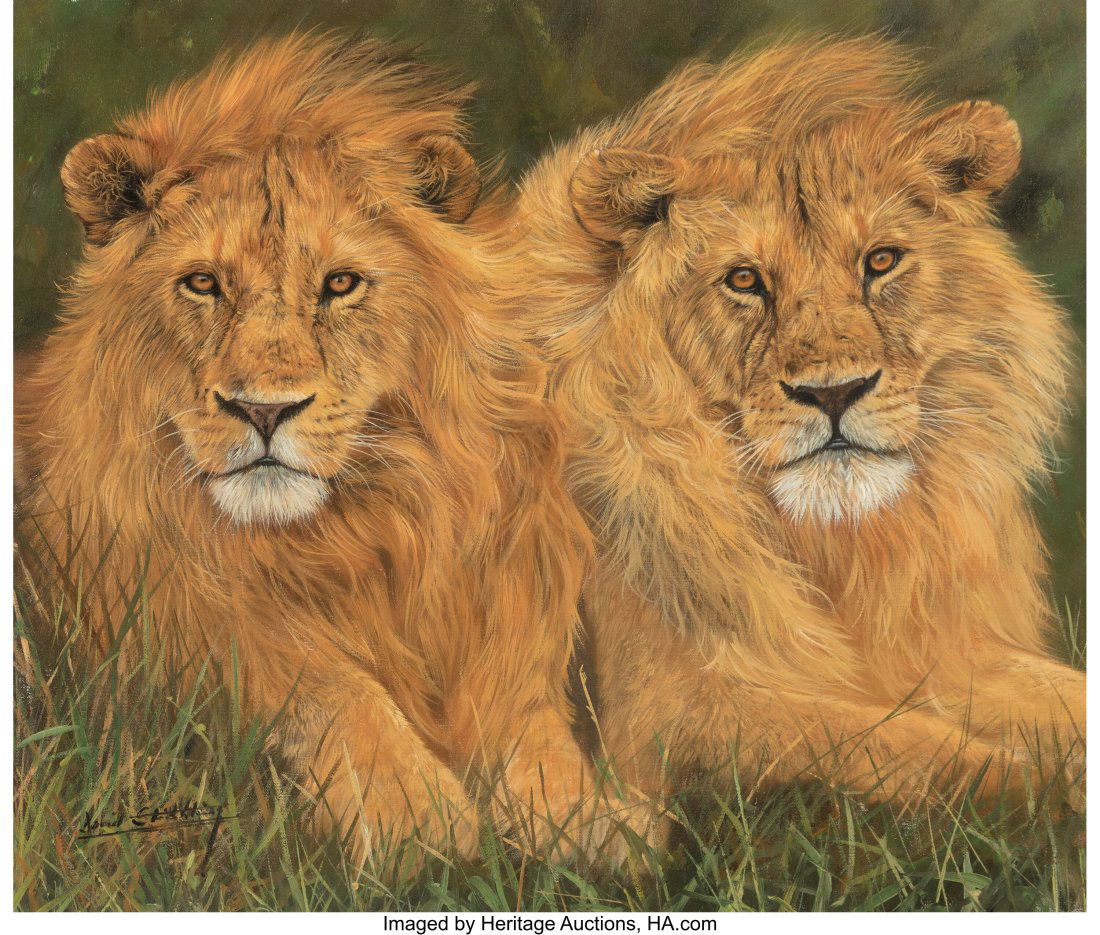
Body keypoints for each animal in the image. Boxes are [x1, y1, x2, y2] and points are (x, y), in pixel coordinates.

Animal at [18, 33, 616, 865]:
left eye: (340, 284)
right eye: (202, 283)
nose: (263, 409)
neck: (357, 538)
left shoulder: (507, 643)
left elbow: (534, 741)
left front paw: (584, 822)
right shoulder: (186, 635)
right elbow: (328, 687)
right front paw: (415, 819)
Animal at [488, 36, 1084, 829]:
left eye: (881, 261)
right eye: (744, 280)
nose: (832, 392)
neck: (838, 546)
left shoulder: (951, 648)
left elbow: (1063, 696)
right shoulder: (666, 719)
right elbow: (898, 744)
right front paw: (1053, 788)